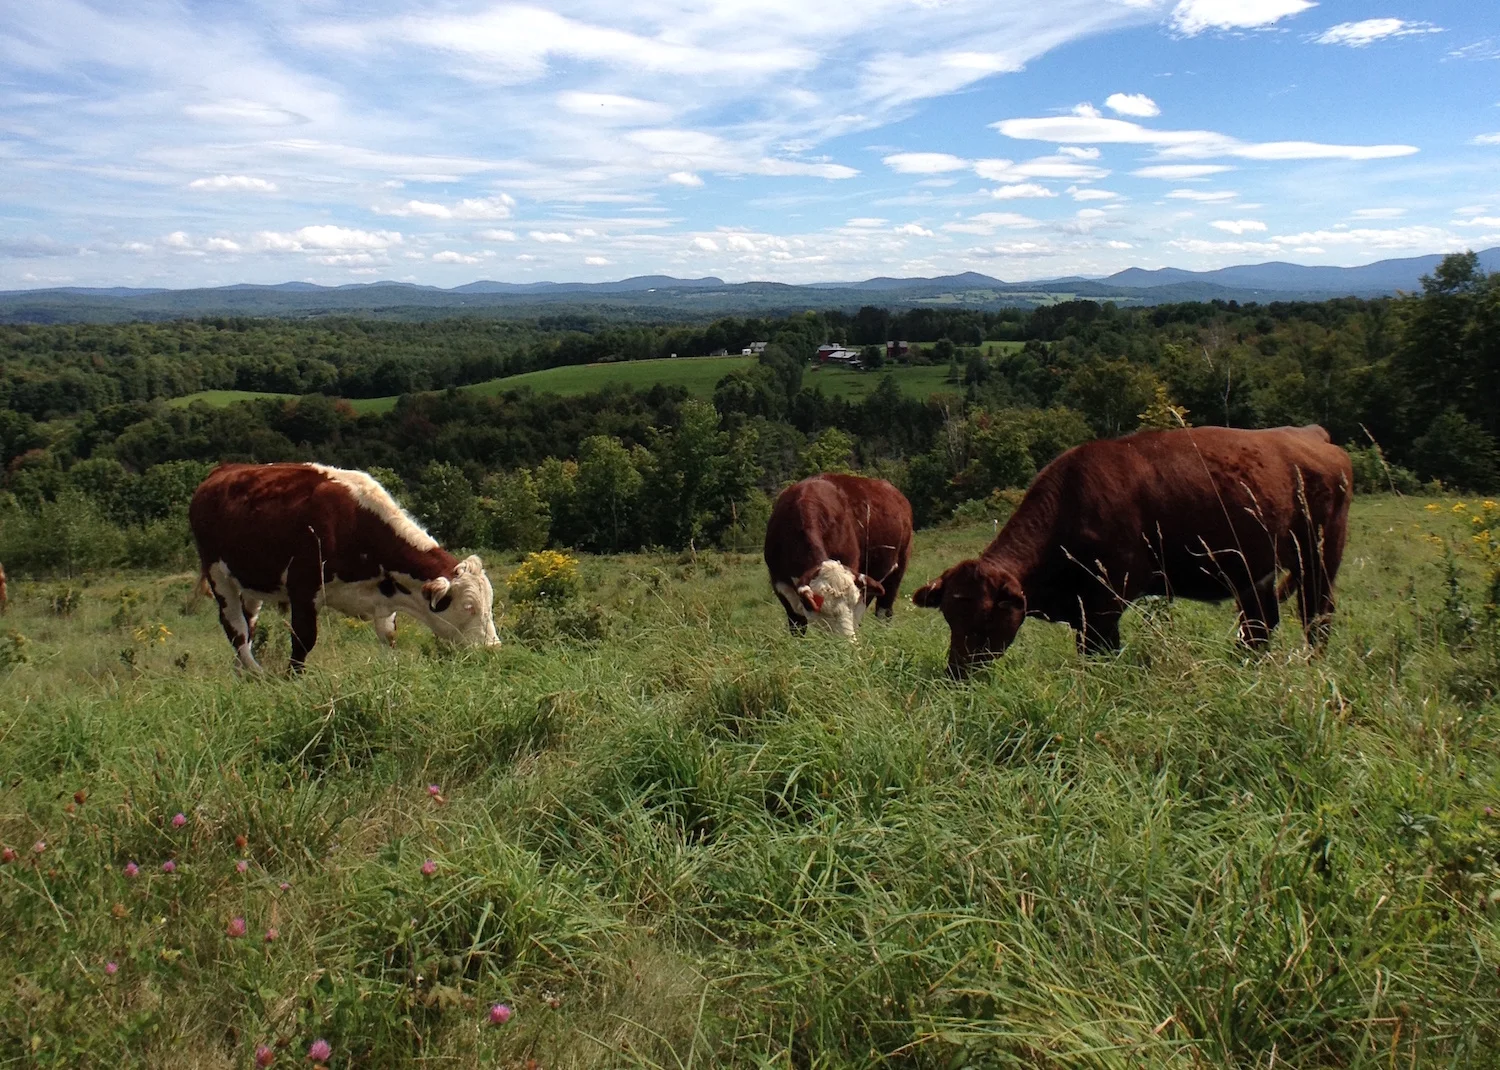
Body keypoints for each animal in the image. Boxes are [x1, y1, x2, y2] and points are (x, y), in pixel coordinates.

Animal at [189, 463, 500, 673]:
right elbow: (303, 641)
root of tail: (223, 470)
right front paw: (292, 681)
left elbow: (389, 636)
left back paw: (241, 673)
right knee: (236, 628)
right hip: (218, 574)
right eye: (469, 607)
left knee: (249, 623)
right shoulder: (303, 588)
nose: (493, 649)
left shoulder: (384, 596)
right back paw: (257, 674)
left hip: (251, 584)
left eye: (490, 605)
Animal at [764, 473, 914, 639]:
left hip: (898, 567)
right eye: (824, 610)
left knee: (884, 611)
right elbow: (797, 627)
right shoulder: (780, 584)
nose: (847, 641)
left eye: (851, 603)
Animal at [913, 425, 1352, 676]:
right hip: (1252, 570)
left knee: (1316, 612)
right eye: (949, 614)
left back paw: (1312, 664)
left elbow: (1097, 652)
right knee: (1260, 624)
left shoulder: (1108, 599)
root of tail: (1310, 436)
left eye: (987, 615)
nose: (957, 672)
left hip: (1318, 556)